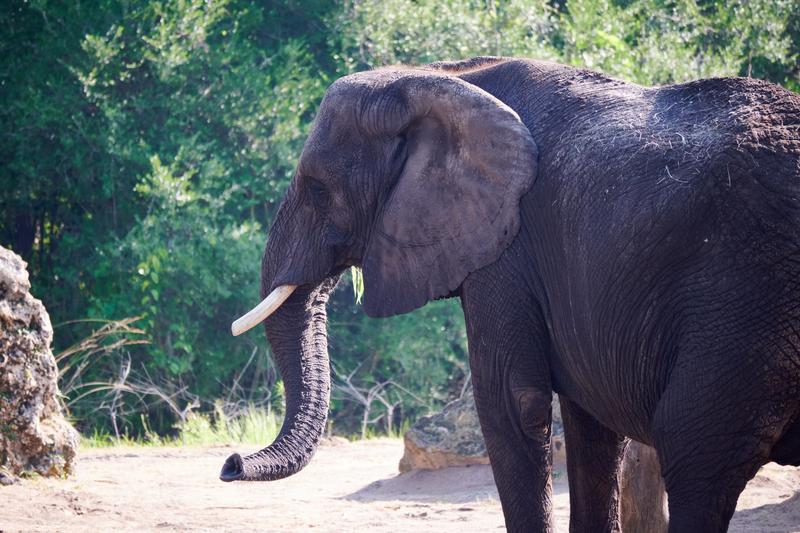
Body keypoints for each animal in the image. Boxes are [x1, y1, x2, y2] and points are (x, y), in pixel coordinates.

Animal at [219, 56, 800, 528]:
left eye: (318, 190)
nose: (229, 462)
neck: (438, 77)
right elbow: (590, 426)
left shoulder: (510, 250)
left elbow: (511, 402)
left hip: (745, 295)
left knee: (695, 450)